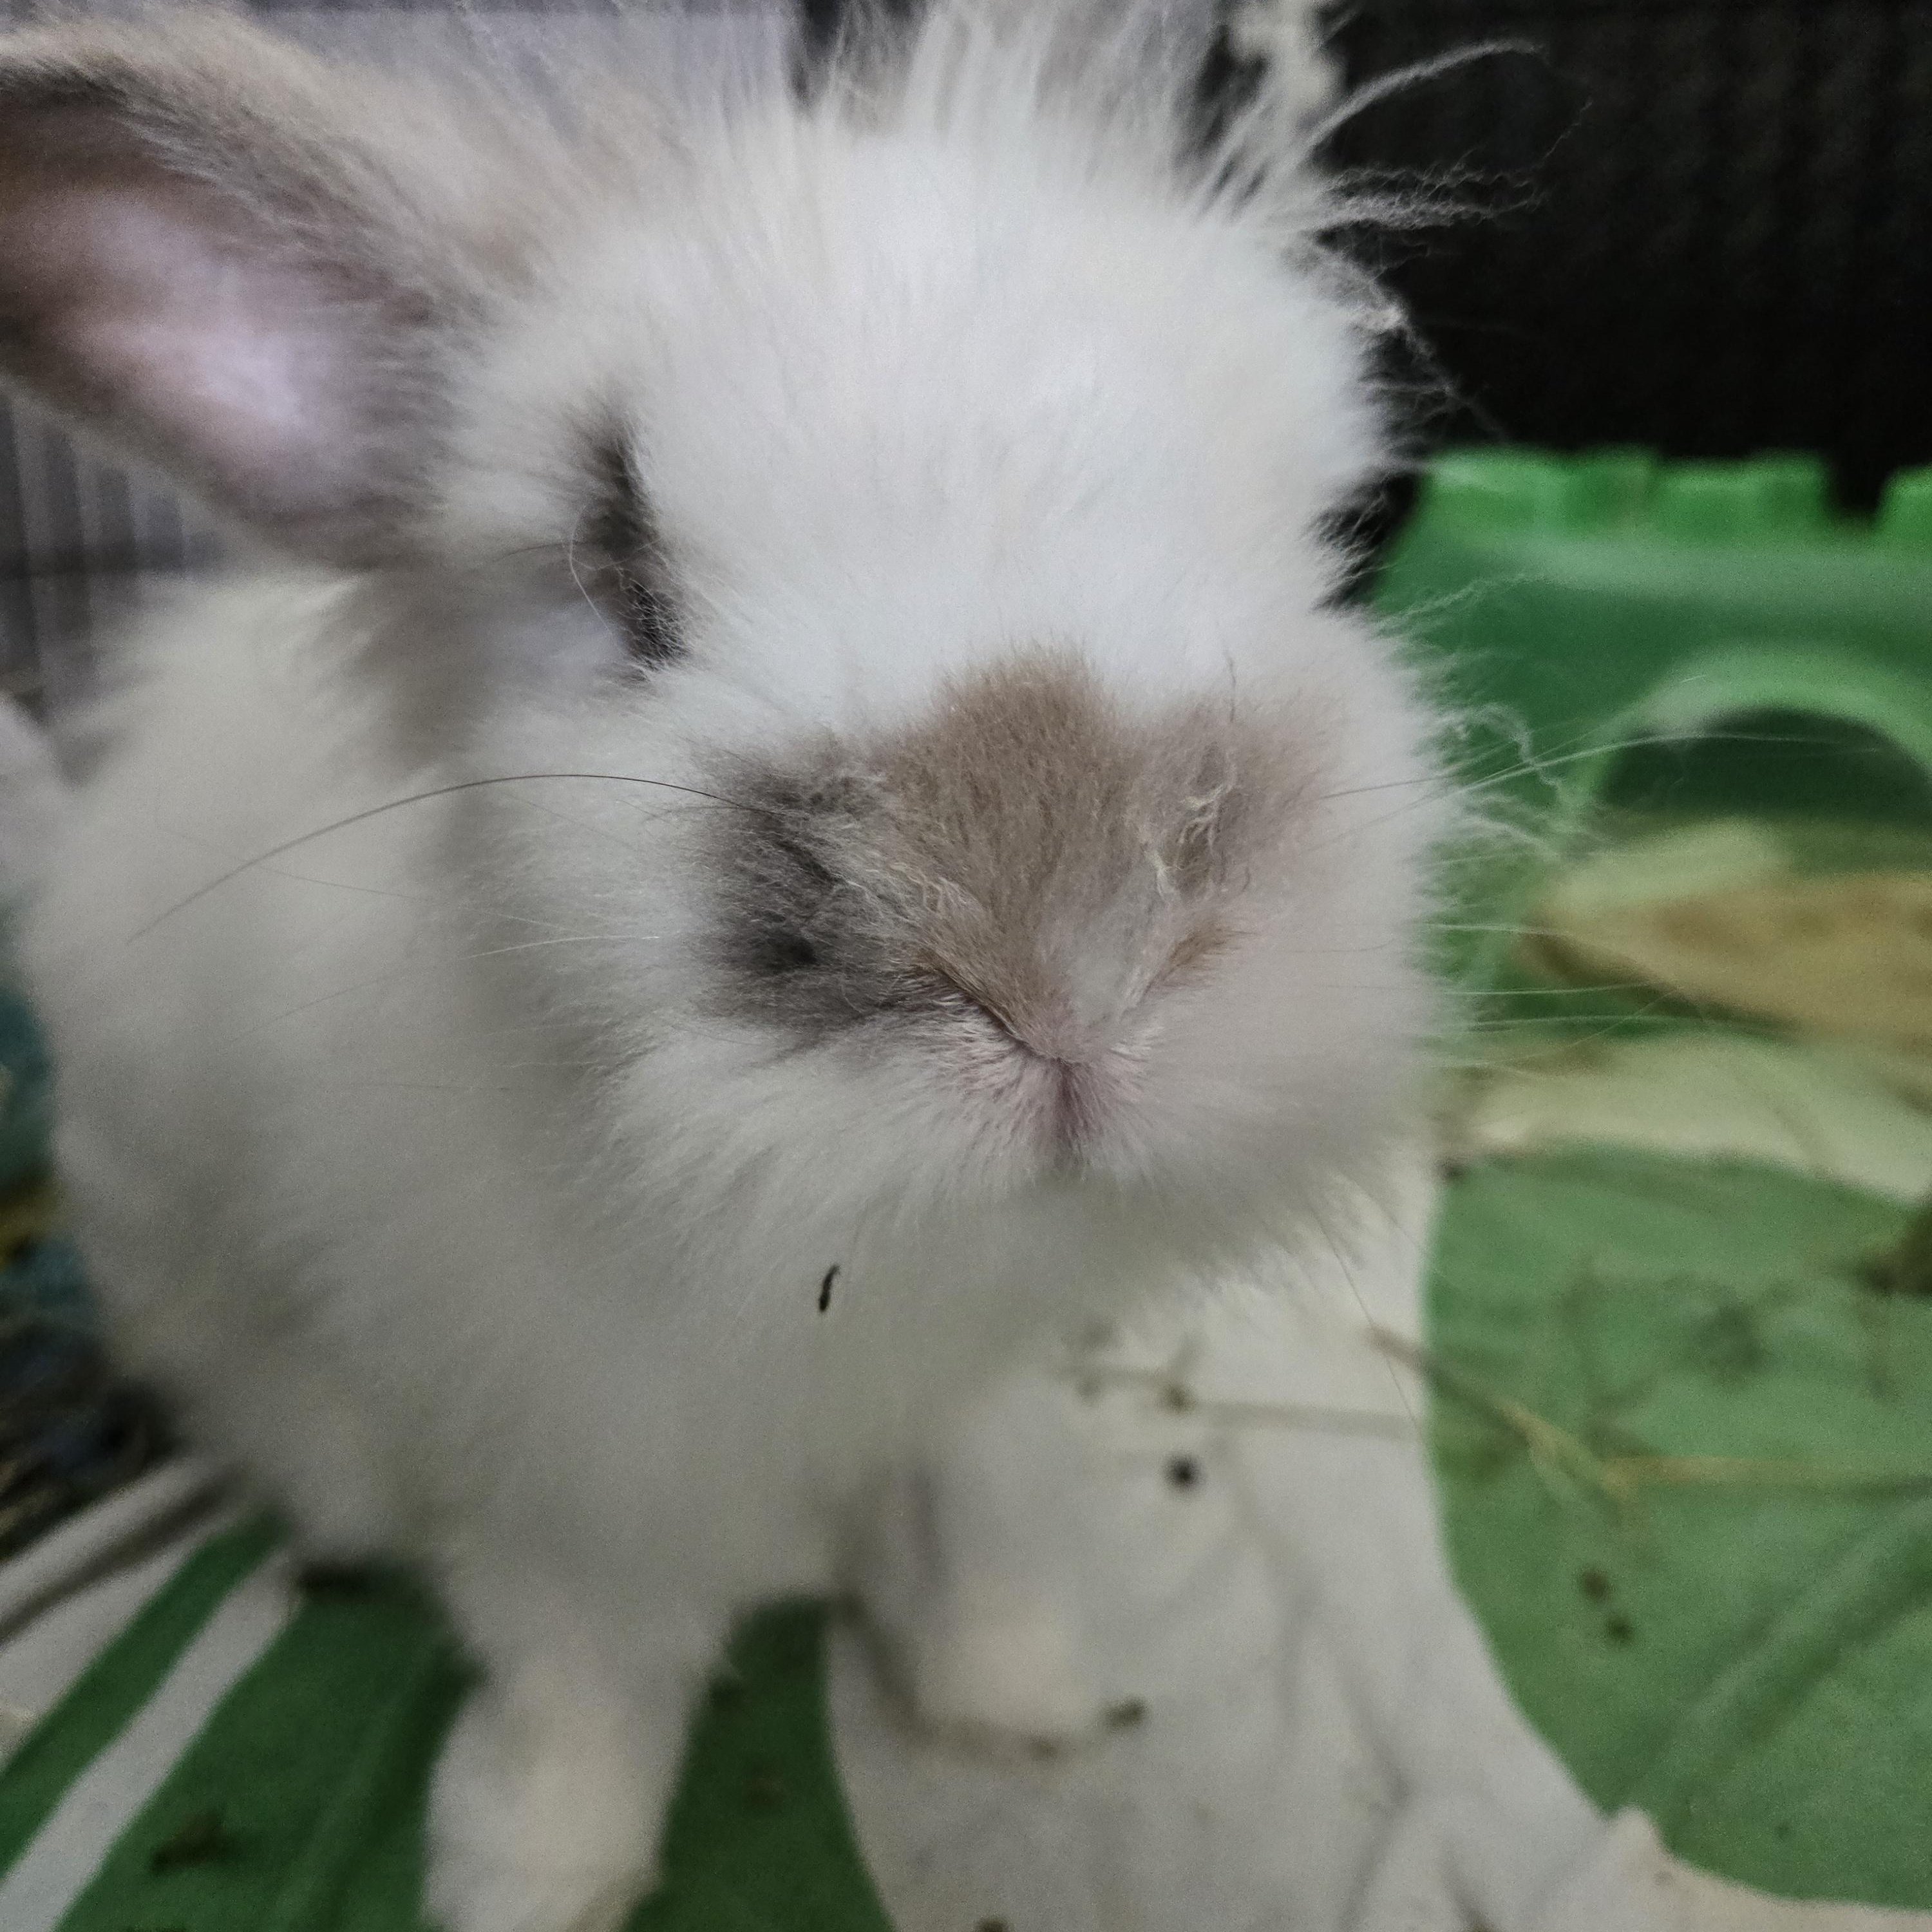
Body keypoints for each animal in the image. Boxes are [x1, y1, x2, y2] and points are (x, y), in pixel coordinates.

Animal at [0, 4, 1451, 1928]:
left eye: (1333, 532)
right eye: (620, 573)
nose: (1066, 959)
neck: (834, 1254)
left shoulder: (965, 1397)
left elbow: (965, 1534)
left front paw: (1023, 1701)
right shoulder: (559, 1459)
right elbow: (587, 1669)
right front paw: (526, 1868)